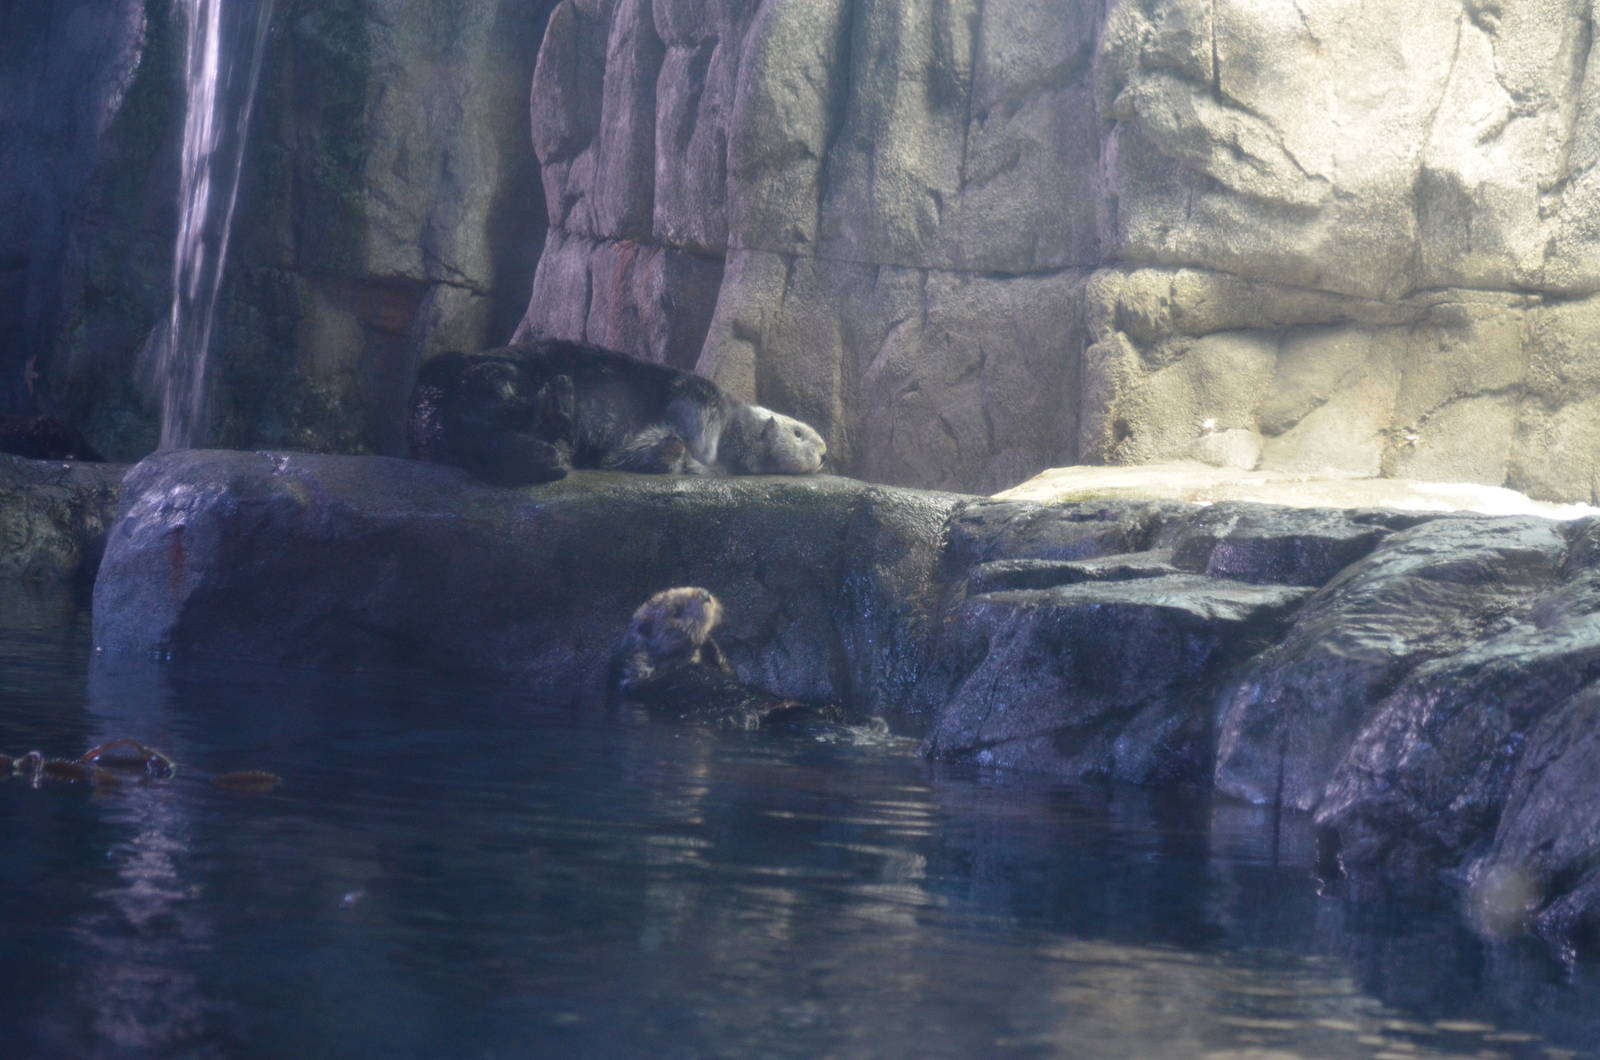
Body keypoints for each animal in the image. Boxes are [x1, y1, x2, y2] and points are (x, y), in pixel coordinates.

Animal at [408, 339, 827, 485]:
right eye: (799, 433)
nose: (825, 452)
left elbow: (653, 451)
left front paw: (673, 456)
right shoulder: (699, 392)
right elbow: (694, 408)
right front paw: (701, 448)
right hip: (499, 377)